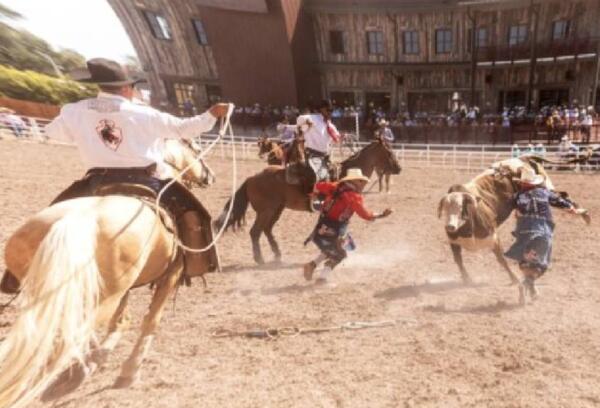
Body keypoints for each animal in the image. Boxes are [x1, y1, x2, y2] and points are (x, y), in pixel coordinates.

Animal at [0, 139, 218, 404]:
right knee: (71, 335)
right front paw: (129, 372)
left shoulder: (123, 290)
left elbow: (121, 321)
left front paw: (99, 358)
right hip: (103, 297)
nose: (210, 176)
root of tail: (75, 221)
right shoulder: (170, 276)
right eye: (197, 148)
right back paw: (68, 378)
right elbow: (149, 321)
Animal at [216, 138, 404, 264]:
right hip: (265, 211)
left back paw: (277, 255)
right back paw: (260, 259)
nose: (399, 168)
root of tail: (252, 178)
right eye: (389, 152)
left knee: (267, 230)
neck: (346, 175)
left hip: (277, 209)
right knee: (255, 232)